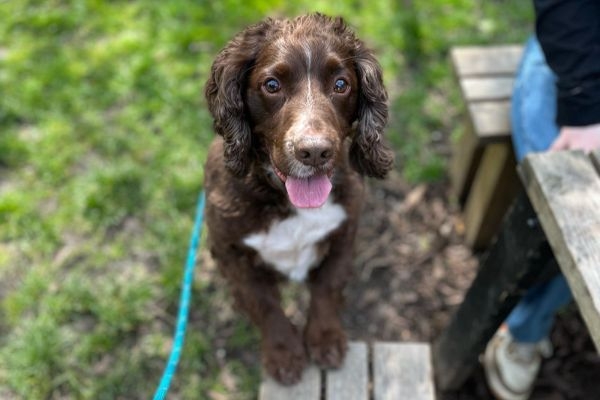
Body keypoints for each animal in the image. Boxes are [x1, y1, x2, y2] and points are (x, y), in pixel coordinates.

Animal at [205, 13, 394, 384]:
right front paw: (284, 353)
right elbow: (263, 302)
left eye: (341, 84)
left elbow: (327, 285)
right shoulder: (230, 251)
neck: (286, 203)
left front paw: (325, 339)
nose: (315, 151)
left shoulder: (345, 230)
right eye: (271, 85)